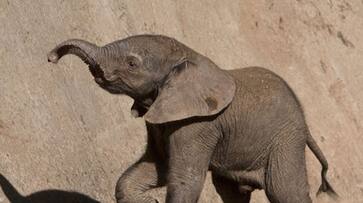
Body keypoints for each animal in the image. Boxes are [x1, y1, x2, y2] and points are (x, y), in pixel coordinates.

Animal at [48, 35, 338, 203]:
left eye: (132, 64)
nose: (50, 58)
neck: (189, 54)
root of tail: (307, 126)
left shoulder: (199, 126)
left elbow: (185, 179)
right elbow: (157, 167)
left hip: (285, 142)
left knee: (284, 191)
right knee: (230, 192)